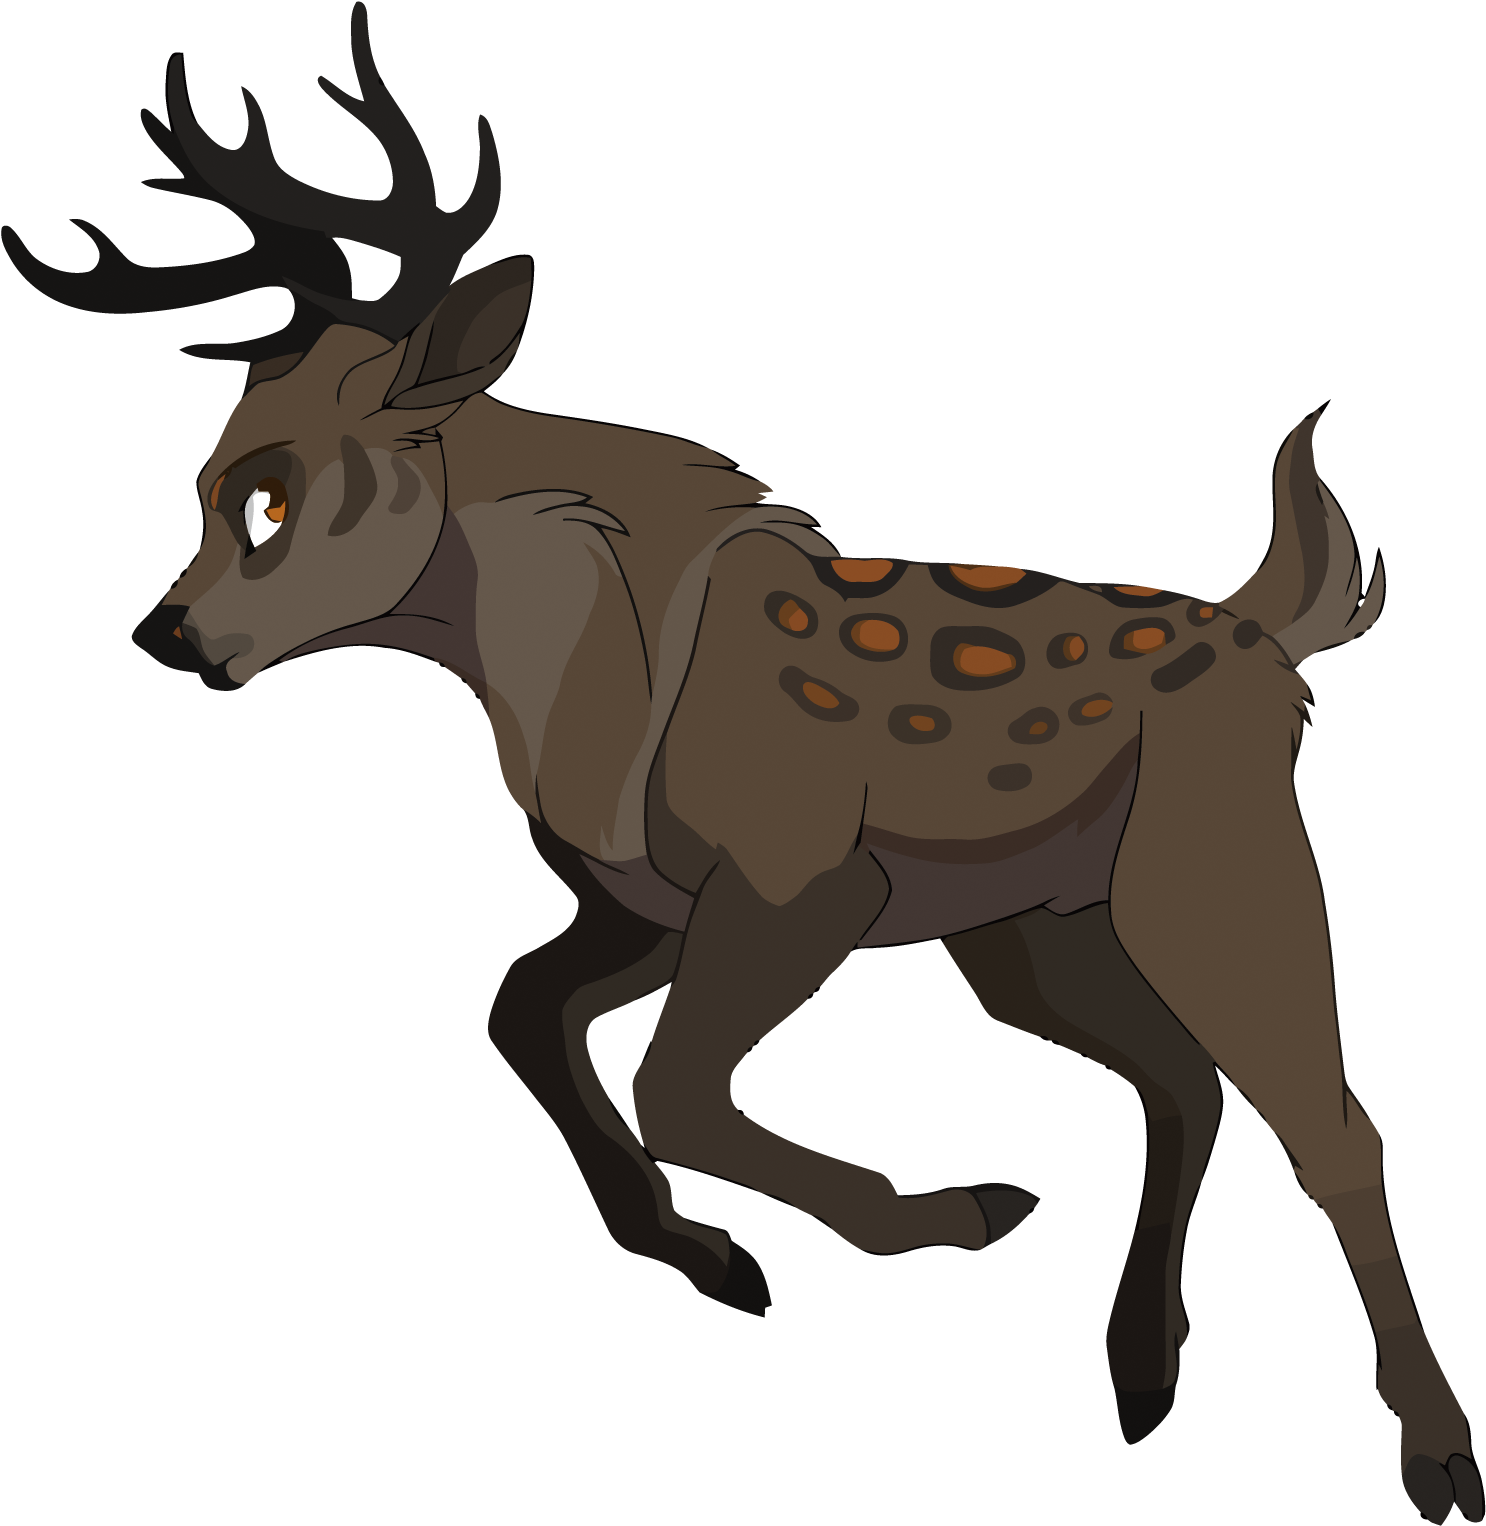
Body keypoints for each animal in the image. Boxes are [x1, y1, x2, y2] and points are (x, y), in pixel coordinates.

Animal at [6, 7, 1474, 1519]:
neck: (582, 682)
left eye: (269, 494)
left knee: (1333, 1117)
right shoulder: (647, 902)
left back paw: (1435, 1453)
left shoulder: (800, 880)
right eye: (210, 483)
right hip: (1032, 926)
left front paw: (944, 1213)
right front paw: (708, 1257)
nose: (168, 633)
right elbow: (524, 1013)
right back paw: (1141, 1370)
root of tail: (1271, 631)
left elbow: (673, 1084)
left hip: (1216, 863)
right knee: (1180, 1077)